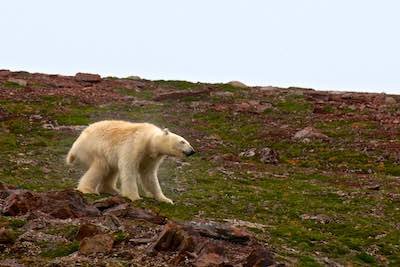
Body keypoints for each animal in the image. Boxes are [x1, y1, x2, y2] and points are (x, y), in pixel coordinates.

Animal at [66, 120, 195, 204]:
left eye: (188, 142)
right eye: (182, 141)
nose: (192, 151)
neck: (149, 140)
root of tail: (76, 143)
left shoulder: (151, 157)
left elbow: (149, 175)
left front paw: (165, 199)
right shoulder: (135, 145)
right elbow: (129, 169)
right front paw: (135, 197)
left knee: (112, 169)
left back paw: (113, 190)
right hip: (95, 148)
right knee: (101, 167)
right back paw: (88, 190)